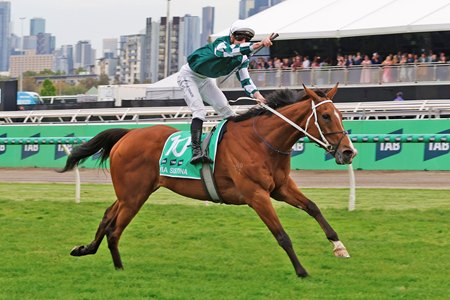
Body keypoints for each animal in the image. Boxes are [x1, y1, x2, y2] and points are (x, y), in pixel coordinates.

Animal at [60, 84, 356, 276]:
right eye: (325, 116)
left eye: (342, 115)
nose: (348, 152)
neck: (263, 142)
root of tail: (127, 135)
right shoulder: (256, 195)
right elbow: (282, 235)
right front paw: (301, 270)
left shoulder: (281, 188)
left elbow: (313, 207)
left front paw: (339, 247)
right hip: (134, 195)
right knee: (115, 229)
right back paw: (119, 268)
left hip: (130, 193)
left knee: (107, 216)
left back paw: (85, 249)